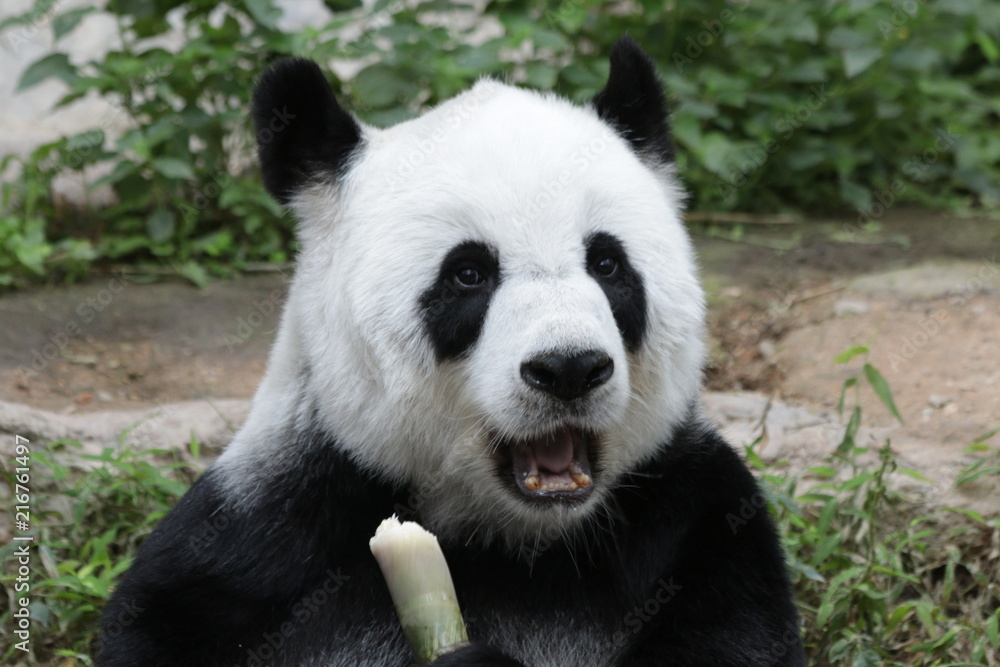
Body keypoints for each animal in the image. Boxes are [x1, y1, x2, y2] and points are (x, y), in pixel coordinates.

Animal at [99, 37, 804, 667]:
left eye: (607, 264)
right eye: (468, 274)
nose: (569, 368)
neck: (514, 541)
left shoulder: (694, 523)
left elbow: (735, 638)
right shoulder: (271, 530)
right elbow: (165, 616)